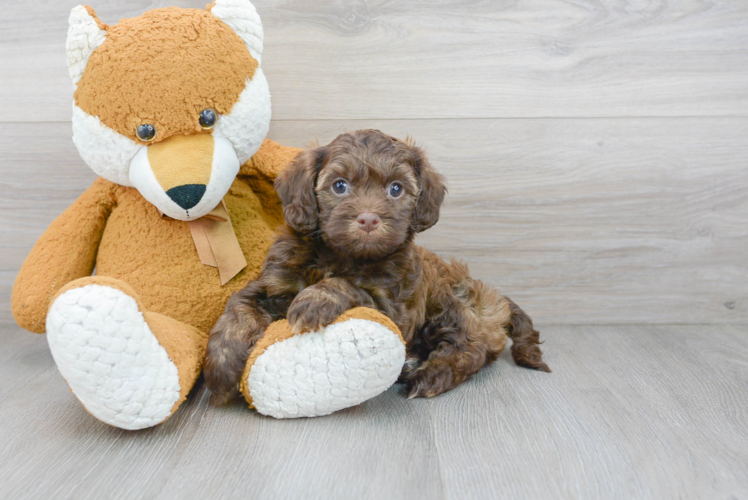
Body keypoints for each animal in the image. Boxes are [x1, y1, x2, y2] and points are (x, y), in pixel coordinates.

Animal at [205, 129, 548, 402]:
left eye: (395, 189)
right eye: (339, 186)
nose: (368, 219)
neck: (342, 255)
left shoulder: (394, 307)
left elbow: (347, 285)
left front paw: (315, 300)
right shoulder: (275, 281)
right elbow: (237, 306)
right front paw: (221, 368)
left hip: (451, 303)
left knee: (471, 349)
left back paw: (430, 375)